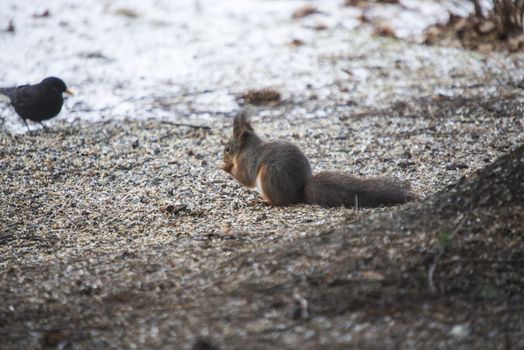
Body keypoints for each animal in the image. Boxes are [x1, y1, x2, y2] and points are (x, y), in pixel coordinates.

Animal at [221, 113, 414, 208]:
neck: (247, 148)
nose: (222, 157)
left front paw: (225, 166)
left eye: (227, 148)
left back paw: (264, 201)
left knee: (279, 202)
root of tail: (298, 193)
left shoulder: (247, 161)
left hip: (269, 176)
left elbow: (245, 178)